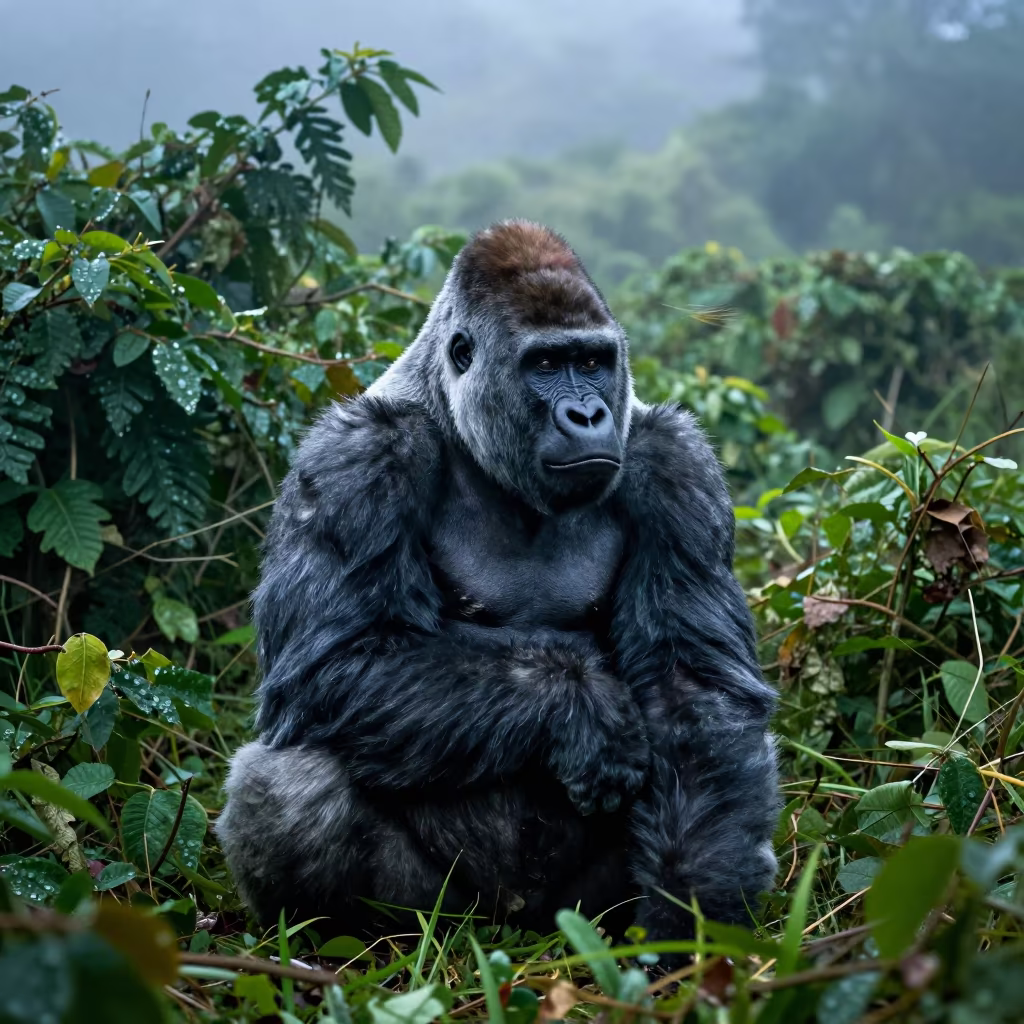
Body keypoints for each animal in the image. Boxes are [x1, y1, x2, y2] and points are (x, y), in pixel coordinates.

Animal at [216, 220, 779, 947]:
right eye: (544, 366)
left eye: (592, 362)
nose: (587, 415)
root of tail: (512, 924)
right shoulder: (358, 456)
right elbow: (335, 664)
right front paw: (581, 707)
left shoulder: (675, 464)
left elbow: (691, 689)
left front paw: (690, 923)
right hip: (444, 911)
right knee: (289, 777)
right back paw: (334, 938)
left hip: (579, 913)